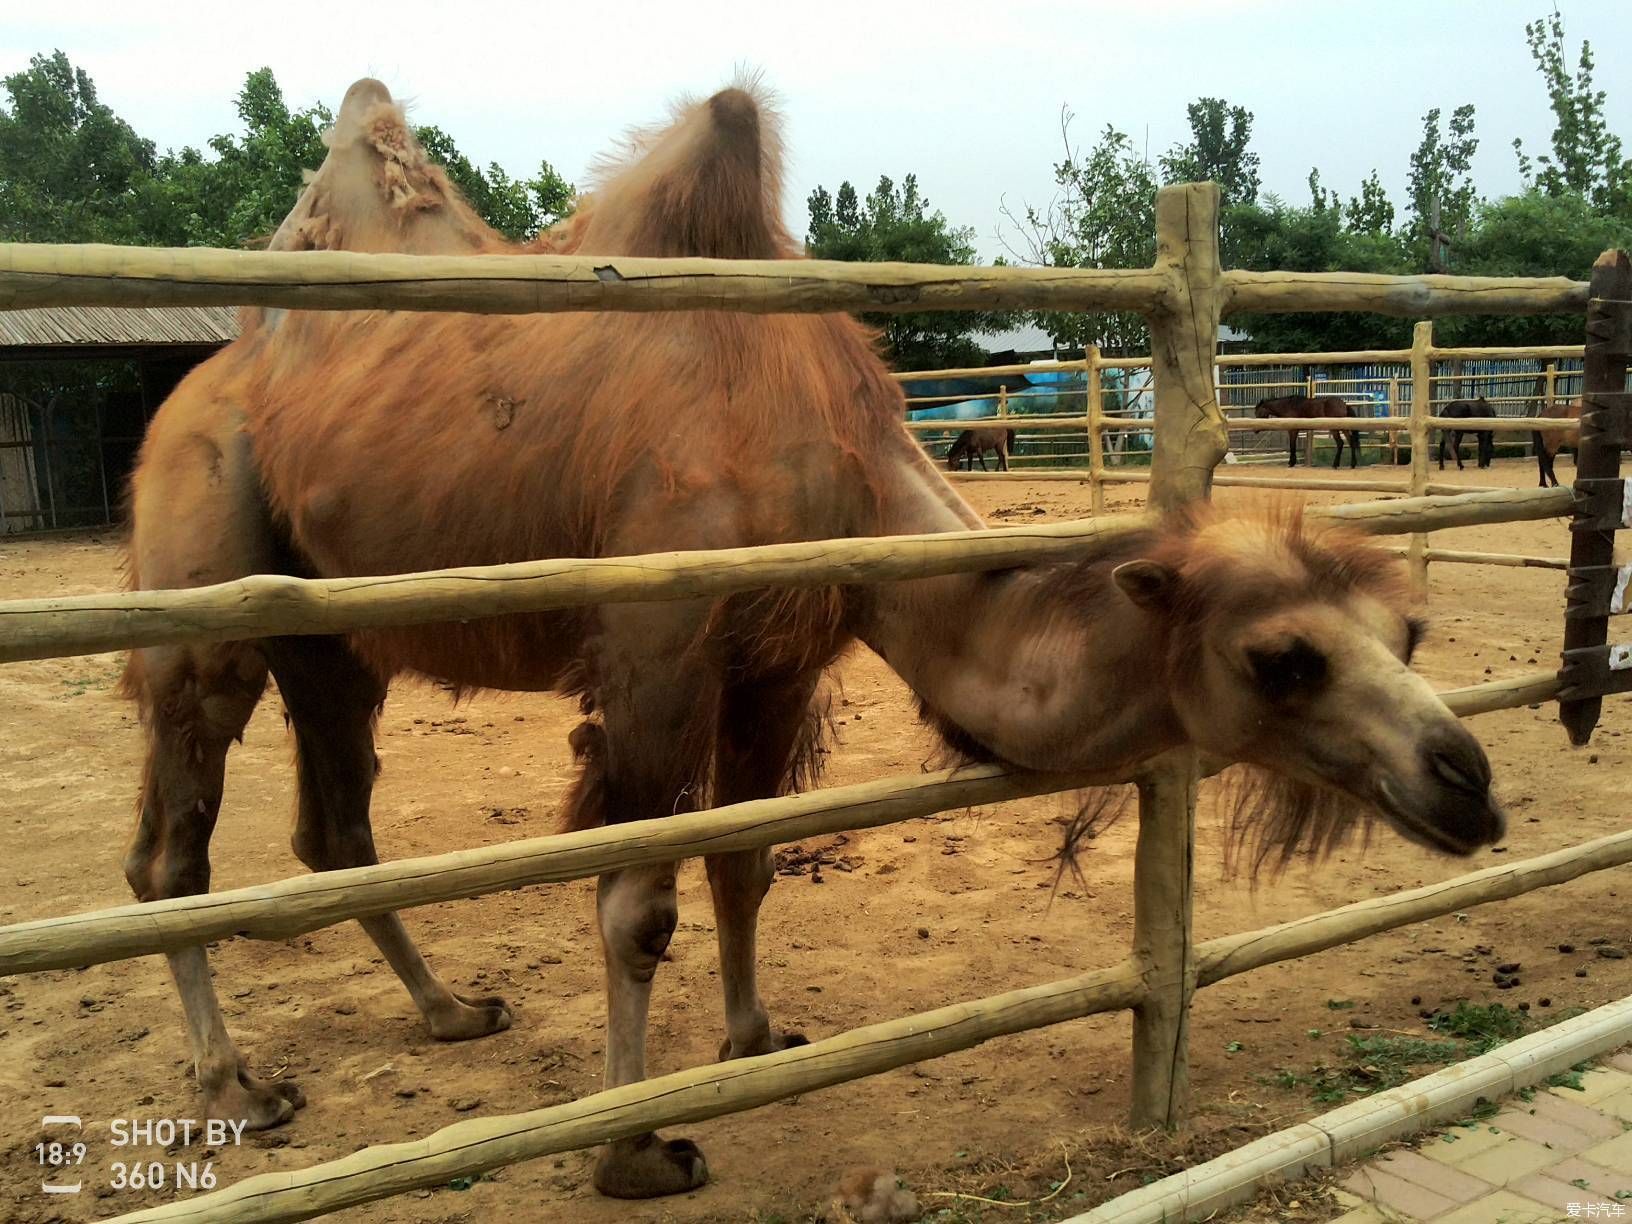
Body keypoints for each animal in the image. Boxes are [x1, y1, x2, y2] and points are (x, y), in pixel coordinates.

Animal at [120, 79, 1507, 1207]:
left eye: (1410, 626)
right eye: (1284, 658)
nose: (1468, 782)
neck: (838, 462)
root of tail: (199, 383)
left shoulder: (777, 655)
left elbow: (747, 861)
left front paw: (752, 1041)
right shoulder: (655, 640)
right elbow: (636, 903)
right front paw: (635, 1149)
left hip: (329, 626)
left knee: (336, 830)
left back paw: (453, 1011)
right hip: (204, 556)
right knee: (173, 846)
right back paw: (236, 1085)